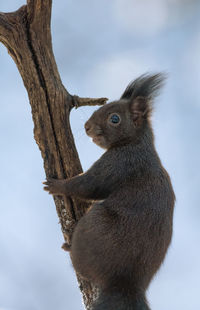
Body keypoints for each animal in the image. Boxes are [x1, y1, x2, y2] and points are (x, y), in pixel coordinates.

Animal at [43, 74, 175, 310]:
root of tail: (124, 285)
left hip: (93, 223)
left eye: (115, 119)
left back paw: (69, 247)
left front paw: (57, 185)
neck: (135, 142)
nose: (86, 127)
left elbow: (88, 185)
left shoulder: (119, 163)